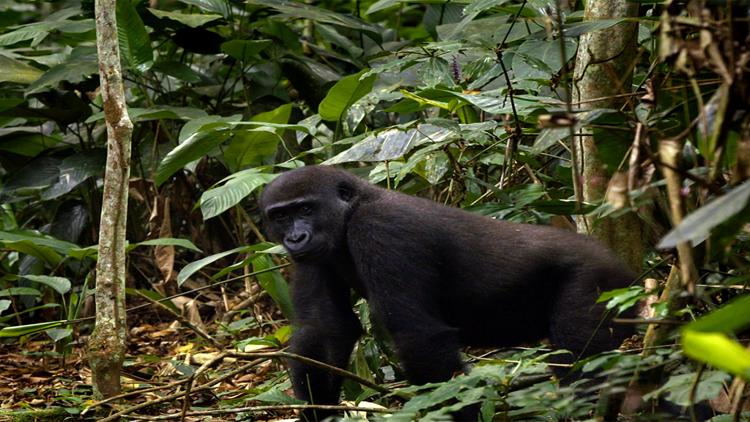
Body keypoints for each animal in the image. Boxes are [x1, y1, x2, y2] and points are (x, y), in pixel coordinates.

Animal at [258, 166, 636, 420]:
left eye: (306, 209)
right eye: (281, 216)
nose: (296, 238)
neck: (355, 208)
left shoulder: (381, 228)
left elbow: (419, 337)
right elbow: (325, 329)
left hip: (600, 282)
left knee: (580, 356)